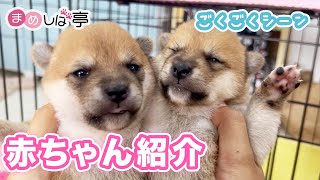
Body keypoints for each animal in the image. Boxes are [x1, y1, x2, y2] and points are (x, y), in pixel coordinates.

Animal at [144, 20, 302, 179]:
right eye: (174, 50)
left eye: (214, 59)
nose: (180, 68)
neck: (185, 112)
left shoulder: (252, 149)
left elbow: (261, 118)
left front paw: (273, 90)